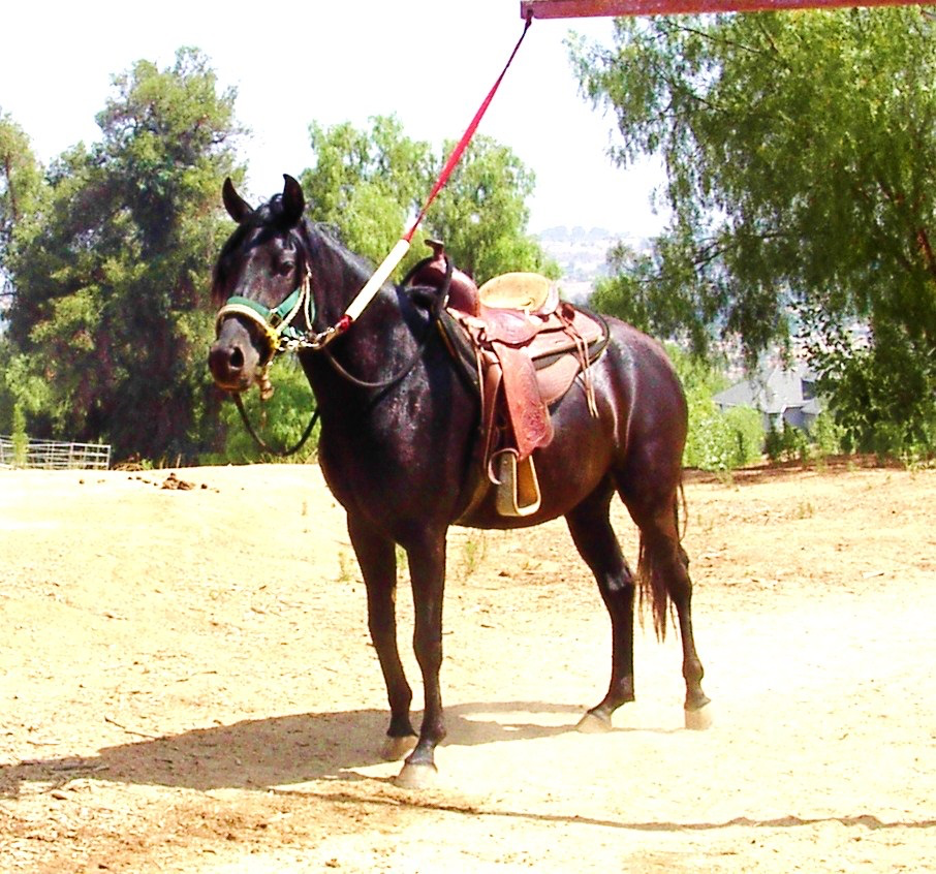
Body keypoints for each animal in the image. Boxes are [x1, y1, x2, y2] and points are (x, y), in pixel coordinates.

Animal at [208, 174, 711, 788]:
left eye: (283, 263)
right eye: (227, 265)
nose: (228, 357)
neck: (393, 377)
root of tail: (653, 355)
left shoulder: (427, 535)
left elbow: (427, 638)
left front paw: (426, 748)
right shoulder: (365, 529)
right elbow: (382, 627)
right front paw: (399, 727)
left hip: (649, 492)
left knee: (678, 578)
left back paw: (695, 699)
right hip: (587, 505)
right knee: (619, 585)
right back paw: (608, 705)